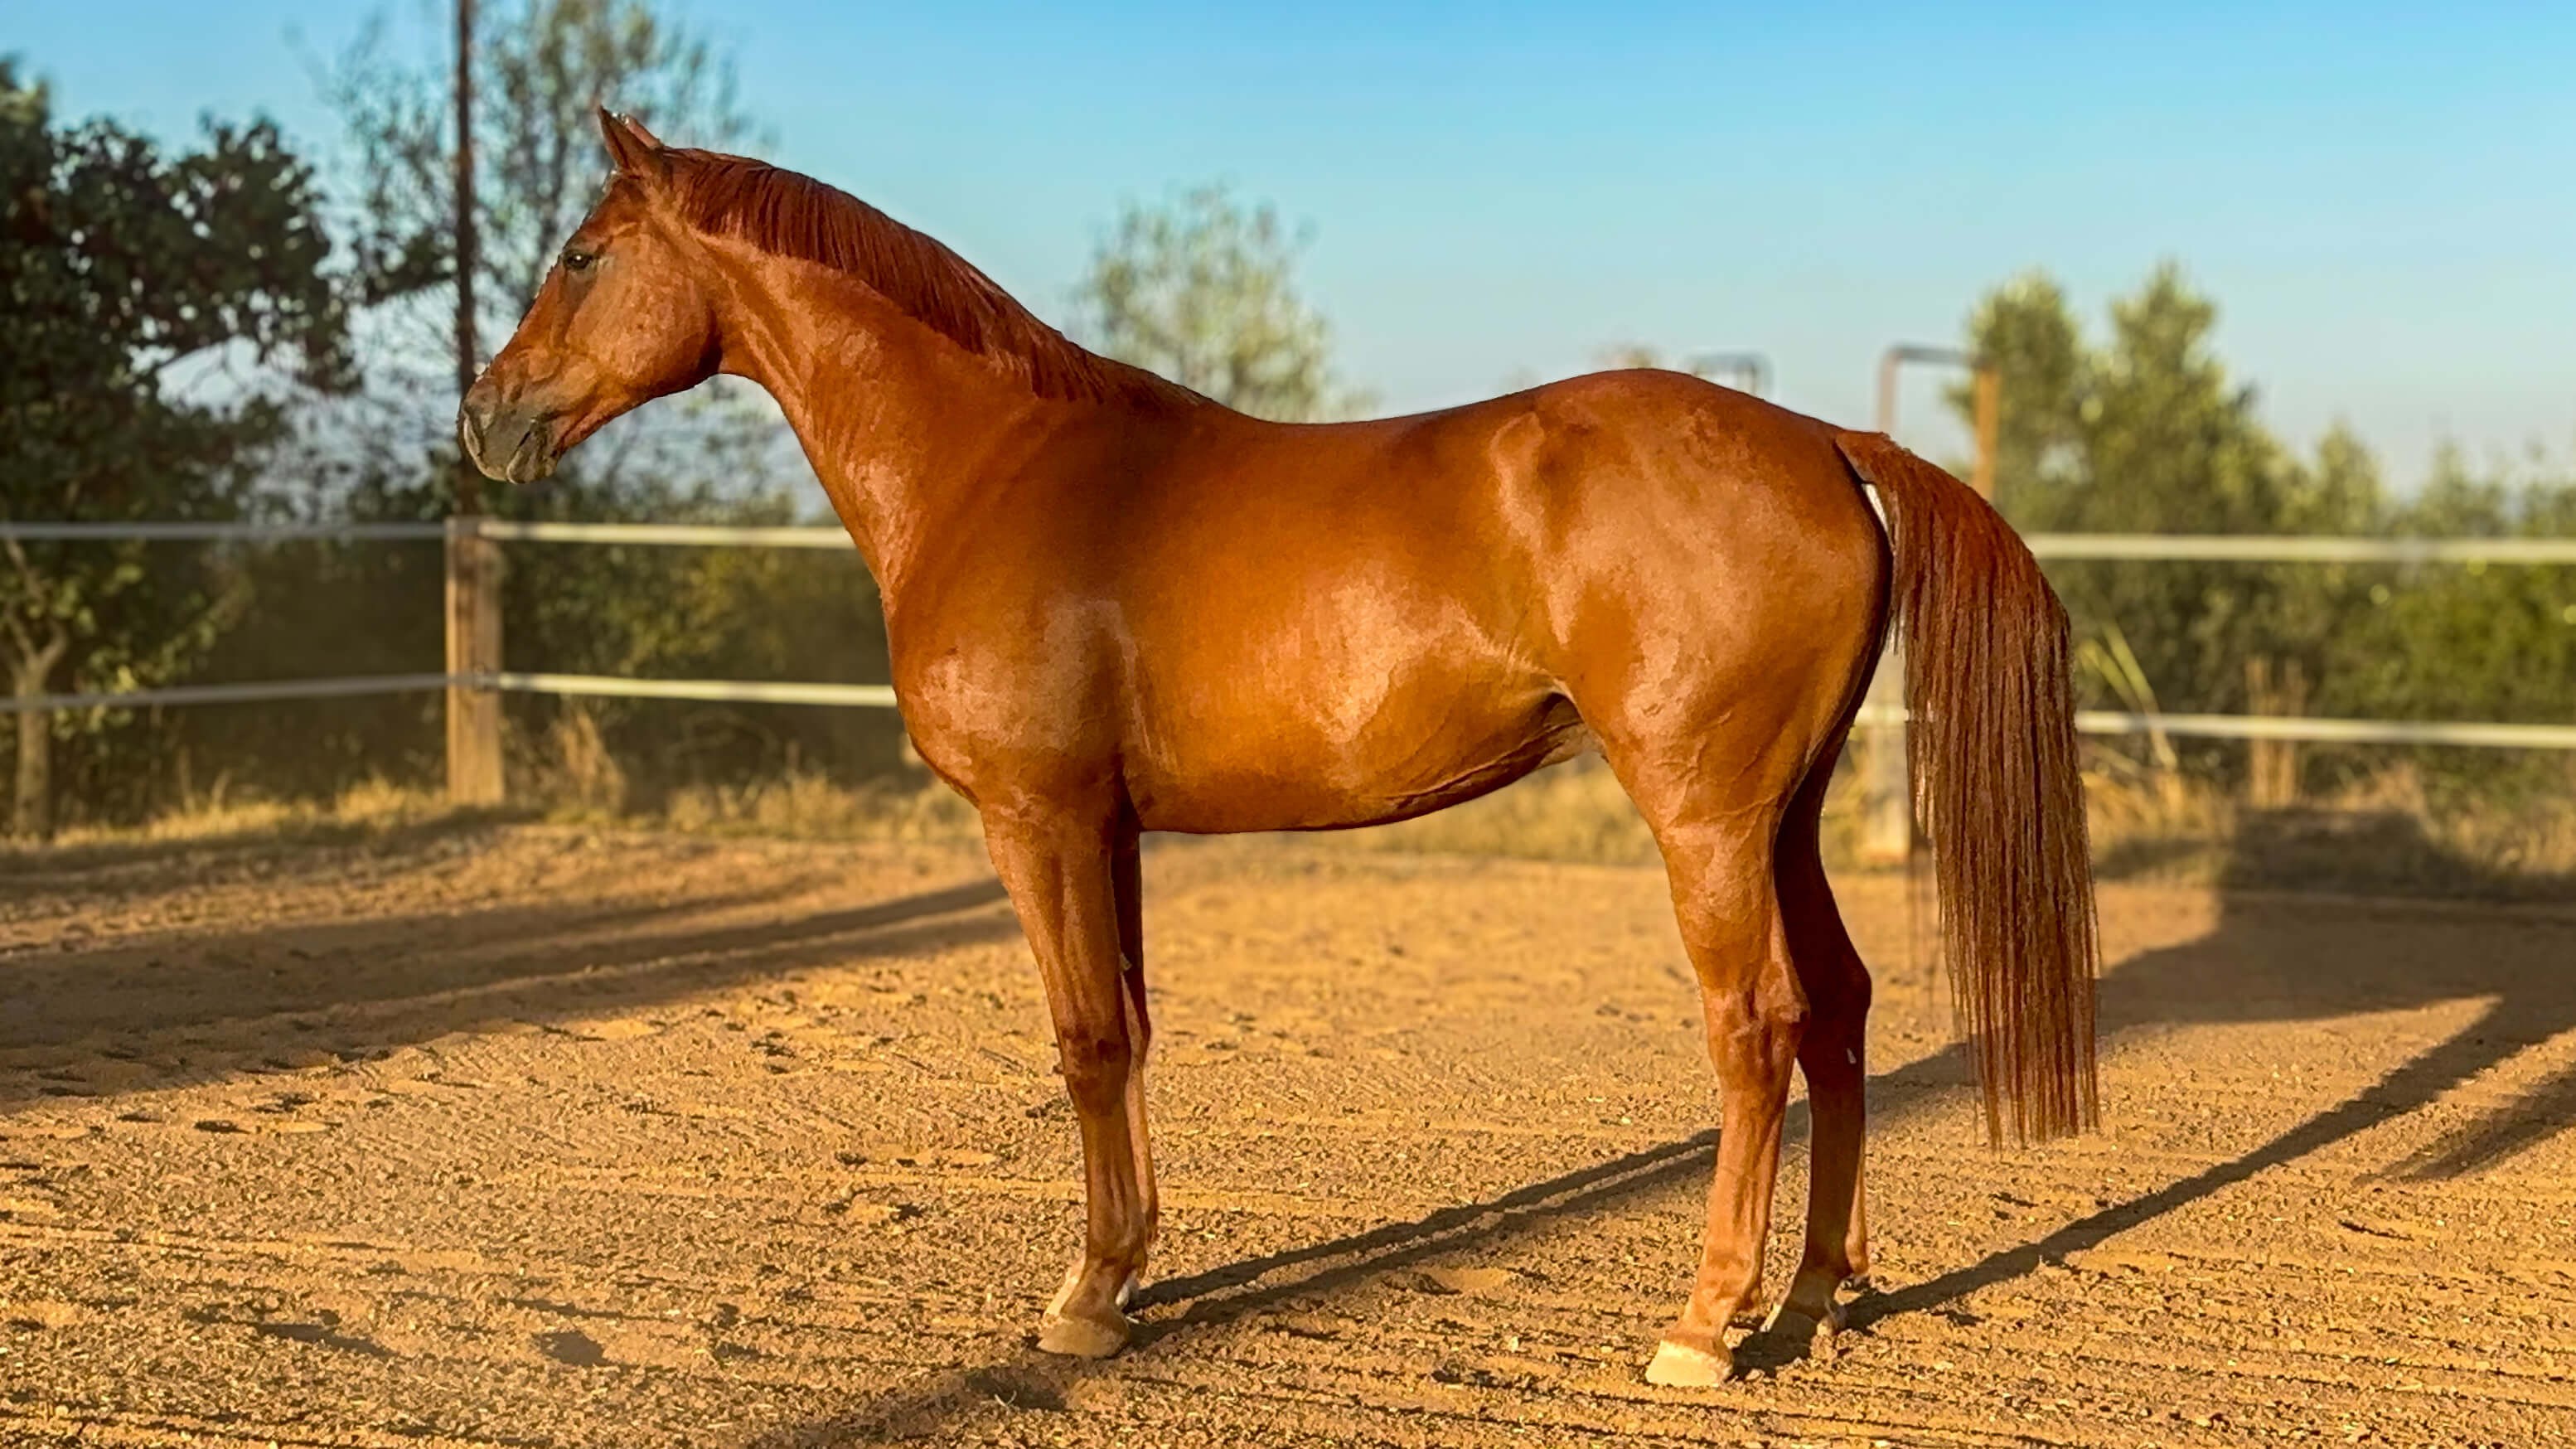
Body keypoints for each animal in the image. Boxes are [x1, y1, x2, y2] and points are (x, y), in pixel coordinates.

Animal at [461, 110, 2099, 1385]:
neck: (1002, 467)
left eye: (581, 255)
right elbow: (1126, 1032)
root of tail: (1820, 439)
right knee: (1839, 1011)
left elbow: (1081, 1039)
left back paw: (1702, 1326)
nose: (486, 419)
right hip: (1789, 813)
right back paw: (1816, 1296)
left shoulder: (1037, 818)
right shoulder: (1109, 827)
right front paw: (1124, 1273)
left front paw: (1081, 1303)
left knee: (1754, 1029)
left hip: (1703, 817)